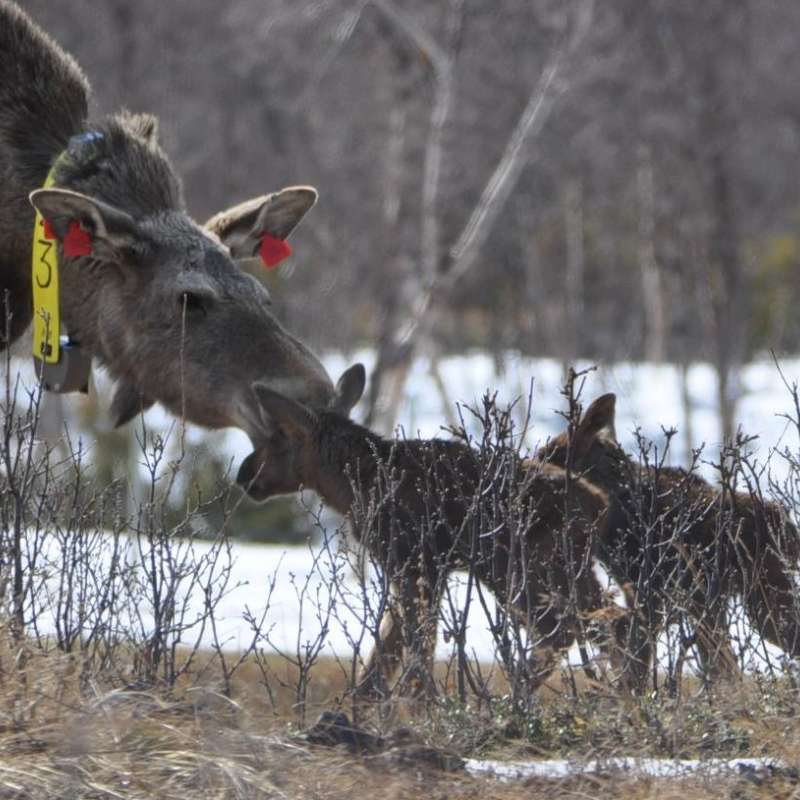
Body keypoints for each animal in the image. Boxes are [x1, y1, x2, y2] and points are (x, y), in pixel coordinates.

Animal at [238, 366, 624, 696]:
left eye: (278, 435)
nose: (244, 473)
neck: (356, 488)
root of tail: (601, 505)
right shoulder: (416, 571)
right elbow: (384, 657)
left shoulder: (414, 564)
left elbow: (415, 651)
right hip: (564, 571)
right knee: (610, 620)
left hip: (521, 571)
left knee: (570, 629)